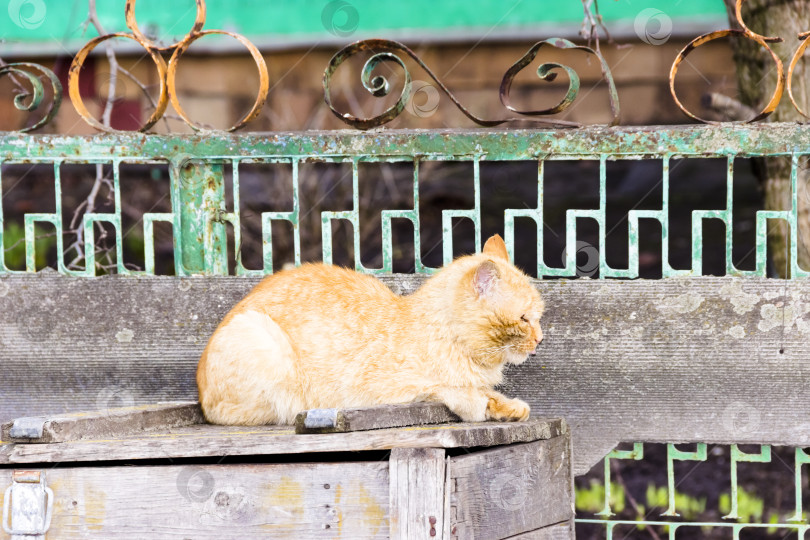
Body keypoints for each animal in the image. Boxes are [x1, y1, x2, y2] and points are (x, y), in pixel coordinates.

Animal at [197, 235, 544, 426]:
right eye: (524, 319)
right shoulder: (383, 390)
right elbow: (455, 390)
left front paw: (507, 406)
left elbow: (485, 391)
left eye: (539, 317)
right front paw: (483, 403)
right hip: (261, 339)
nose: (541, 340)